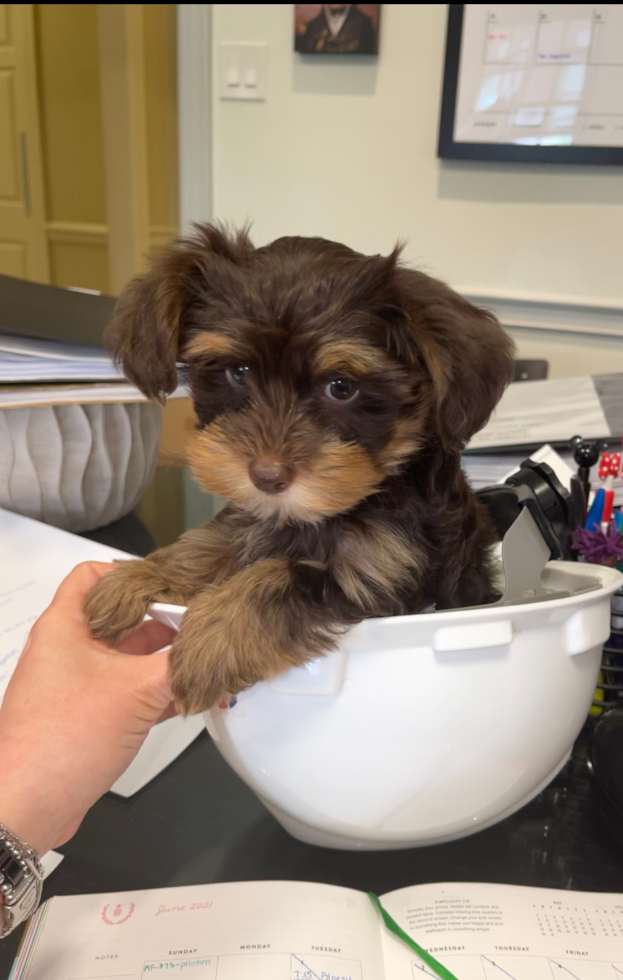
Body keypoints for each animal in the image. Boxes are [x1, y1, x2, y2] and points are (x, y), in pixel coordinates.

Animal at [84, 224, 516, 712]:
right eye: (238, 372)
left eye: (341, 387)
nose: (267, 477)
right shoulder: (258, 518)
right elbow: (212, 543)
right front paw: (141, 575)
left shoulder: (385, 572)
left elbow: (280, 576)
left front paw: (212, 639)